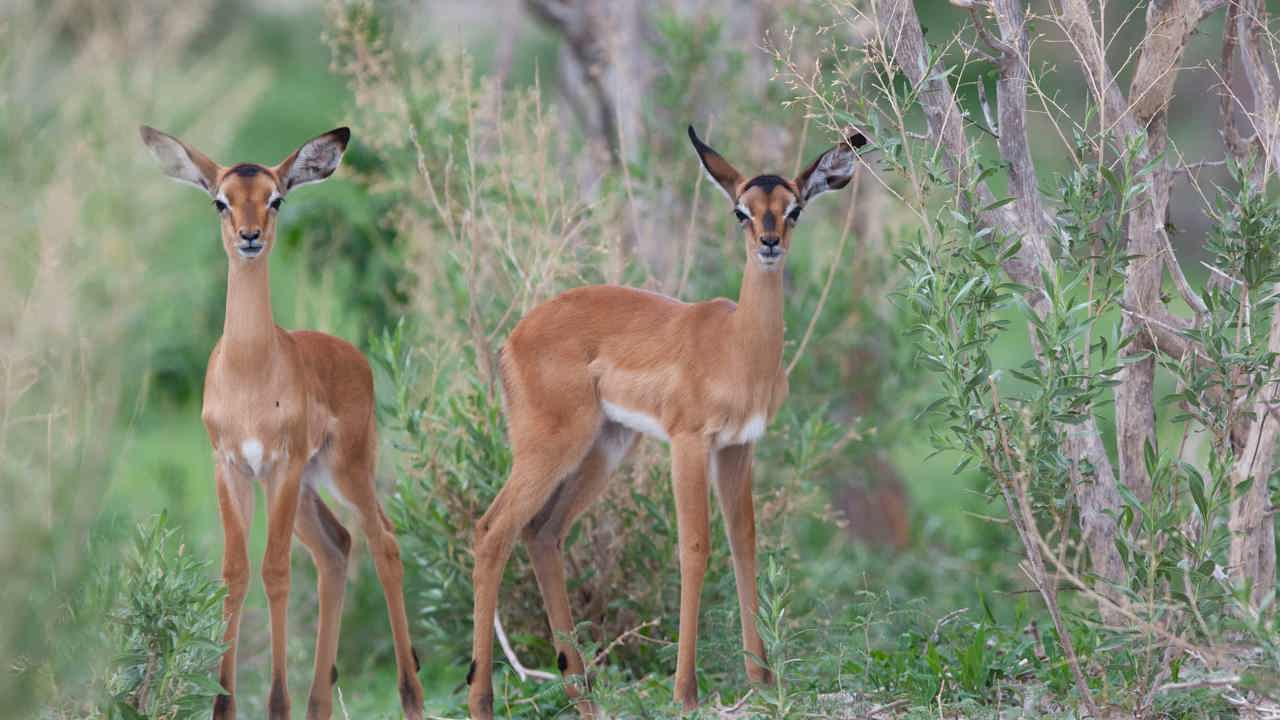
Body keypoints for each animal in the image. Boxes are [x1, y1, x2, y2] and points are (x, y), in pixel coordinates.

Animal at [140, 126, 424, 720]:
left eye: (276, 198)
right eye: (220, 201)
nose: (250, 237)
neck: (250, 371)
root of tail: (354, 355)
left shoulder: (281, 466)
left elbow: (274, 572)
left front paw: (275, 702)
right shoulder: (232, 469)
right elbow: (234, 574)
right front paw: (224, 704)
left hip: (344, 471)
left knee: (383, 542)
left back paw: (412, 696)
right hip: (309, 487)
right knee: (337, 546)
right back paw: (318, 702)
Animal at [466, 125, 867, 718]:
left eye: (793, 208)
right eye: (740, 211)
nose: (769, 243)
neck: (738, 348)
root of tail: (512, 340)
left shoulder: (738, 448)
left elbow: (744, 540)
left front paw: (761, 679)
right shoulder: (688, 442)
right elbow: (695, 548)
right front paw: (686, 690)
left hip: (605, 448)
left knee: (543, 532)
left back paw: (582, 693)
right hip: (552, 446)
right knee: (493, 530)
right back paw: (483, 699)